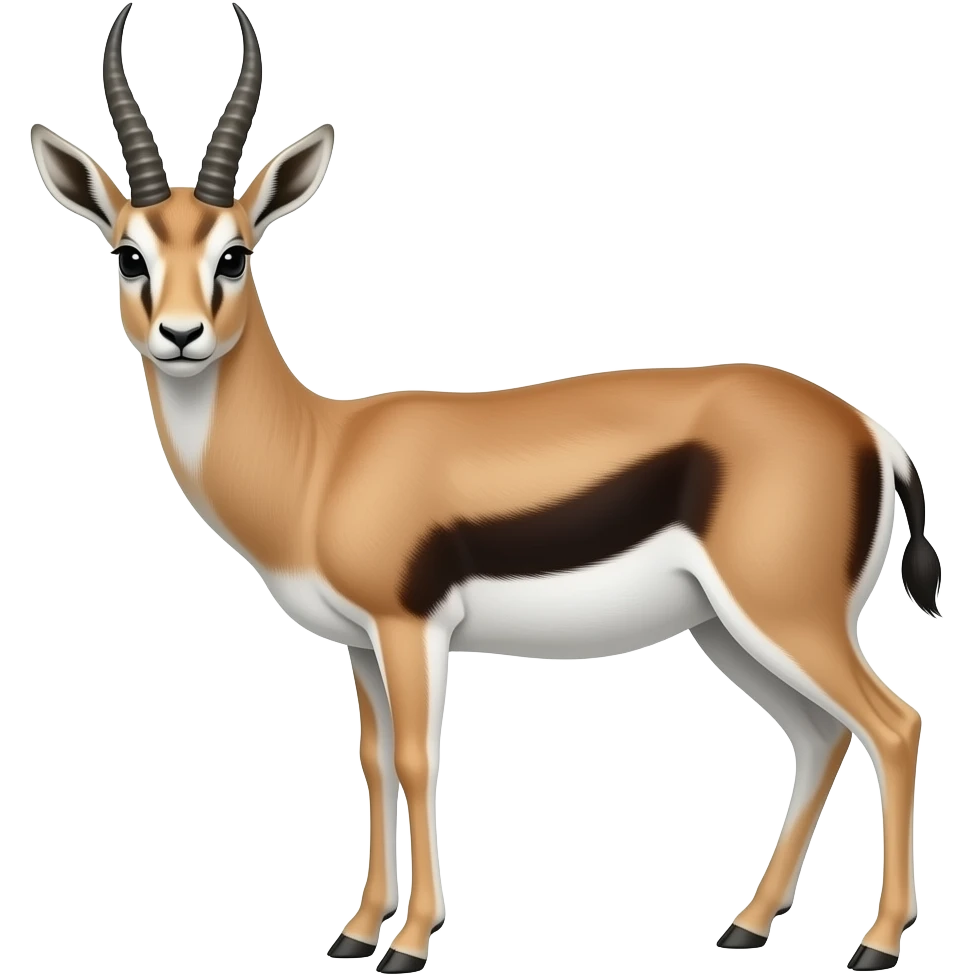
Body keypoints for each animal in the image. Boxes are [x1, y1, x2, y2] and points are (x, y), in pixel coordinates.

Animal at [29, 6, 941, 973]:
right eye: (129, 254)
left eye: (233, 254)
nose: (180, 335)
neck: (321, 459)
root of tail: (871, 431)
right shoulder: (359, 644)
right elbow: (372, 760)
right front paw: (356, 930)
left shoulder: (410, 627)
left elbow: (417, 760)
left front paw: (410, 941)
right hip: (725, 628)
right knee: (818, 735)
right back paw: (748, 923)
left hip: (787, 616)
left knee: (892, 724)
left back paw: (876, 943)